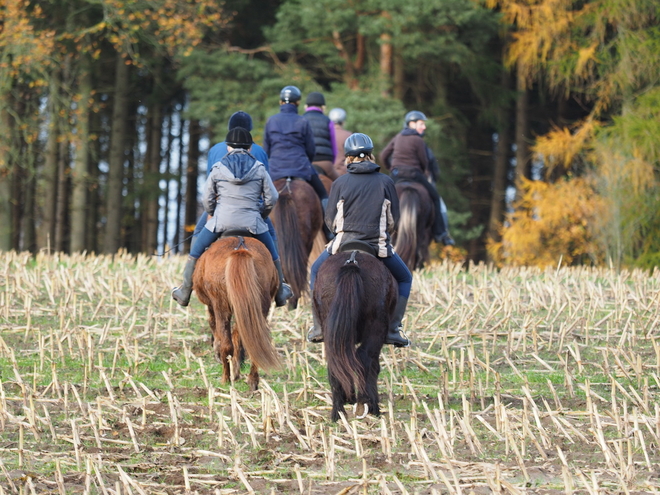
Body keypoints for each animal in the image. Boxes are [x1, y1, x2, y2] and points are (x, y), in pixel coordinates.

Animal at [193, 234, 282, 394]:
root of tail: (240, 249)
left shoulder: (213, 306)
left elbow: (216, 328)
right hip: (260, 306)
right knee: (254, 344)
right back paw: (252, 381)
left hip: (221, 305)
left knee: (226, 344)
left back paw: (225, 379)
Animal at [310, 244, 398, 422]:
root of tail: (352, 261)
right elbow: (374, 367)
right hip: (376, 328)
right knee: (366, 360)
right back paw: (367, 404)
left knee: (336, 364)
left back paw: (338, 412)